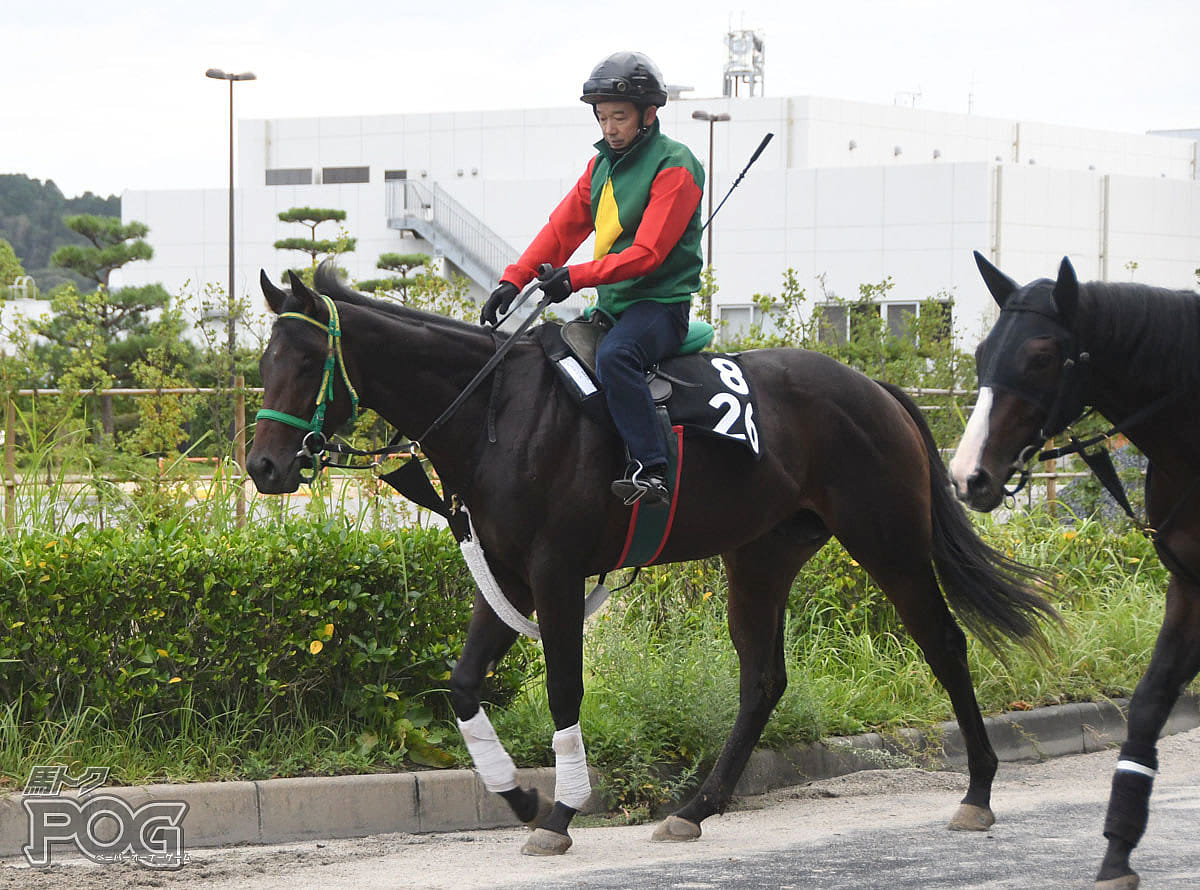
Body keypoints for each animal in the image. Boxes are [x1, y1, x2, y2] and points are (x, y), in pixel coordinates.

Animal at [248, 262, 1056, 858]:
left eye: (310, 359)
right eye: (264, 361)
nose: (263, 465)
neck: (496, 411)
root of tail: (874, 388)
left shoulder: (555, 573)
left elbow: (565, 690)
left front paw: (561, 811)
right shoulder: (504, 575)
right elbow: (464, 685)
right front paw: (521, 795)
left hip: (887, 540)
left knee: (943, 643)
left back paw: (978, 791)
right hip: (760, 555)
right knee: (763, 680)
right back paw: (695, 806)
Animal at [955, 249, 1200, 890]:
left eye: (1041, 357)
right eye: (981, 353)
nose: (968, 476)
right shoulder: (1190, 589)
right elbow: (1148, 703)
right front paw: (1117, 852)